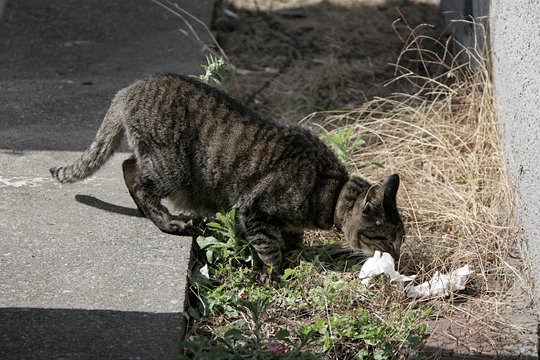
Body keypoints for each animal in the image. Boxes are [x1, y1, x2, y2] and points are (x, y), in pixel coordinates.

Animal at [51, 73, 404, 276]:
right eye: (388, 239)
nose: (397, 259)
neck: (328, 191)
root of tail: (128, 89)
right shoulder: (253, 210)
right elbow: (269, 249)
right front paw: (280, 273)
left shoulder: (287, 223)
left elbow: (293, 241)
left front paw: (300, 256)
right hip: (171, 169)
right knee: (139, 182)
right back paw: (167, 221)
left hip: (156, 160)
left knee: (127, 165)